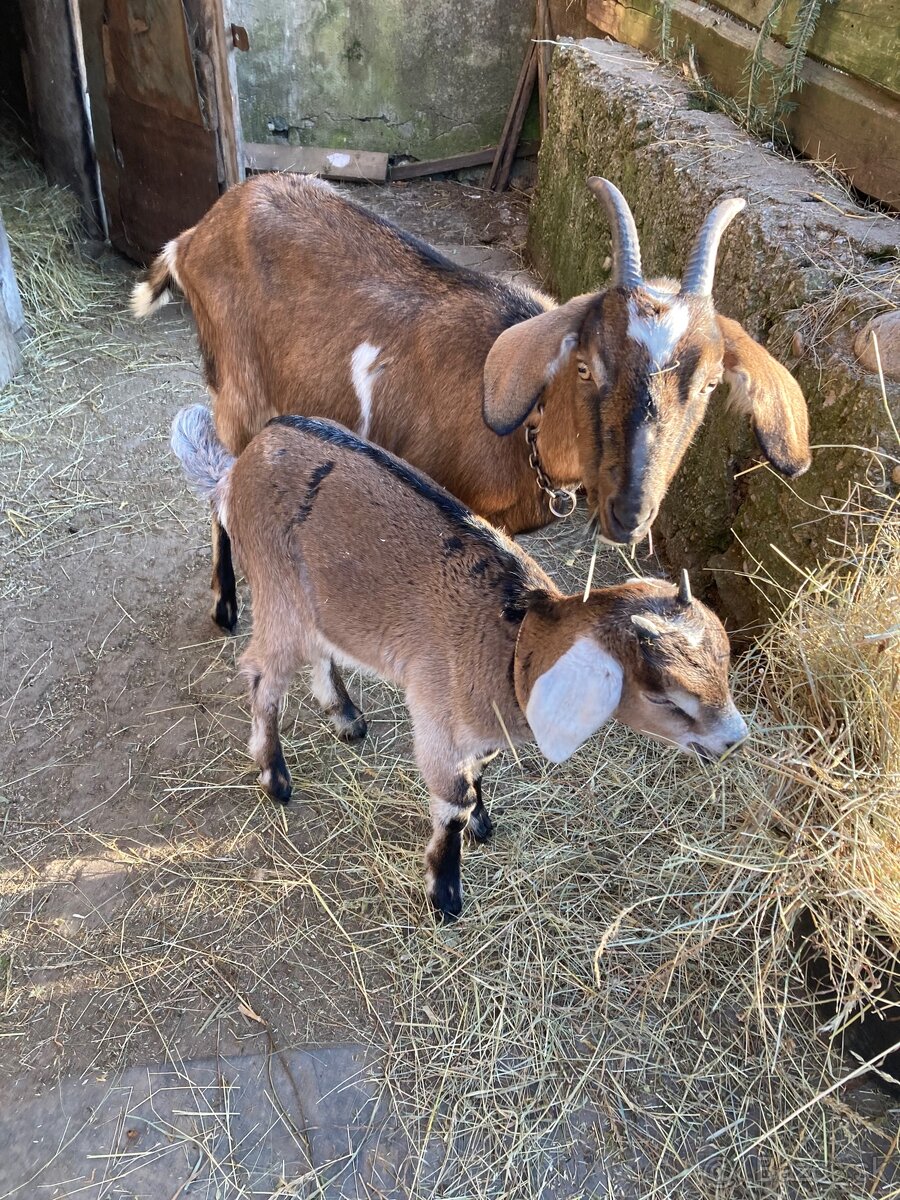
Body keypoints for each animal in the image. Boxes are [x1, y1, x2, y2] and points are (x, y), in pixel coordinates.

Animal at [132, 176, 811, 633]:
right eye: (588, 364)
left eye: (709, 385)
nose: (629, 513)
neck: (530, 425)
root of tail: (193, 235)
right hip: (236, 390)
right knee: (222, 480)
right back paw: (226, 604)